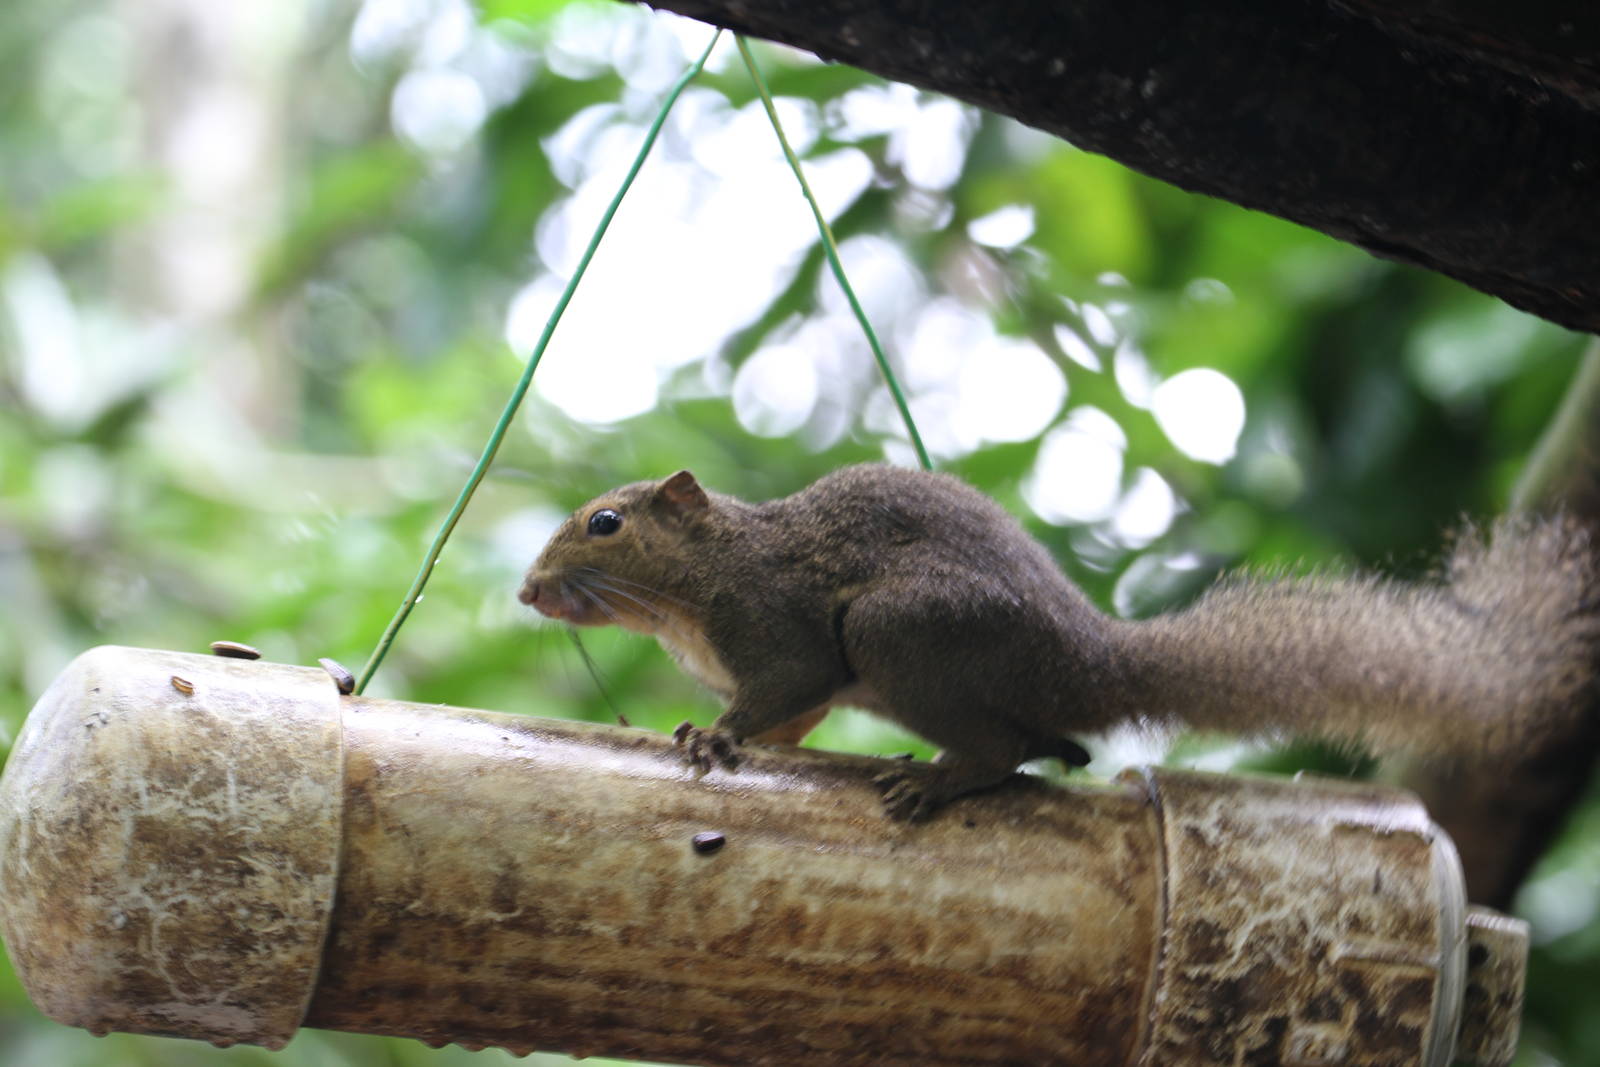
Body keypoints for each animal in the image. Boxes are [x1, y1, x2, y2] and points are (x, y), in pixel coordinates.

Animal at [519, 464, 1600, 820]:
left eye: (606, 523)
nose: (529, 590)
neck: (690, 593)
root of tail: (1093, 661)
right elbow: (798, 716)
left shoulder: (775, 620)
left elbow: (783, 683)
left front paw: (717, 735)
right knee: (1056, 748)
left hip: (904, 634)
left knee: (1015, 748)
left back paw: (940, 779)